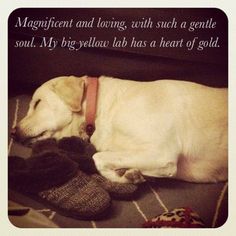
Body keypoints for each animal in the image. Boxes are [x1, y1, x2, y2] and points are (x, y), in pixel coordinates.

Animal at [12, 75, 228, 184]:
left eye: (37, 103)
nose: (12, 132)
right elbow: (104, 160)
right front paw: (127, 174)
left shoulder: (162, 153)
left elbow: (97, 158)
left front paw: (124, 175)